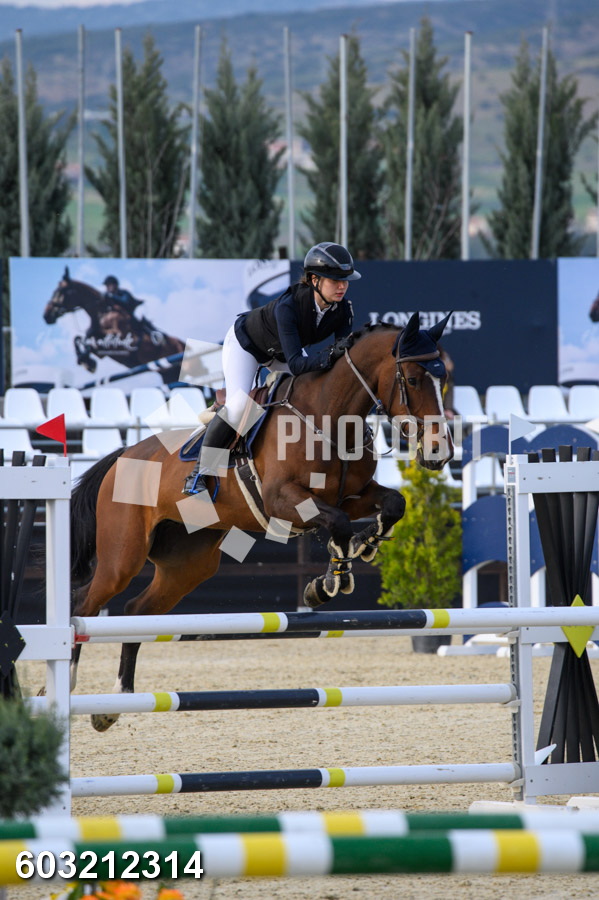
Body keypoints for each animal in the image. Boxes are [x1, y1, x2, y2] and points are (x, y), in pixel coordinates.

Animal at [43, 267, 186, 383]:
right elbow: (80, 338)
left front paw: (88, 362)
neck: (103, 312)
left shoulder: (122, 340)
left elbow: (88, 338)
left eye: (60, 291)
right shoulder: (102, 351)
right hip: (168, 375)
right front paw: (85, 360)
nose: (46, 316)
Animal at [69, 312, 454, 731]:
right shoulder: (283, 500)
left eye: (443, 380)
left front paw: (361, 548)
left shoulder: (354, 495)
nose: (440, 453)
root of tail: (123, 455)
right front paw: (328, 583)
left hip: (188, 565)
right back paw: (67, 690)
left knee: (135, 612)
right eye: (413, 379)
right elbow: (336, 524)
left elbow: (393, 504)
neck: (329, 418)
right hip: (122, 558)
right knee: (85, 607)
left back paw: (114, 702)